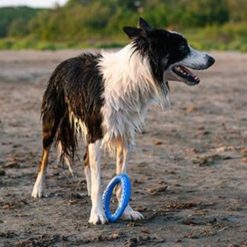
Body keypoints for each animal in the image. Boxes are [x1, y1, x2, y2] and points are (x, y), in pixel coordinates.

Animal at [32, 18, 214, 225]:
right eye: (183, 47)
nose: (212, 59)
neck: (136, 75)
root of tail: (64, 62)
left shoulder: (124, 135)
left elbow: (121, 177)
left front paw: (126, 210)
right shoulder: (97, 134)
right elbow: (99, 179)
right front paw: (97, 213)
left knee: (86, 160)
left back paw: (88, 191)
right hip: (53, 119)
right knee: (45, 155)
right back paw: (38, 189)